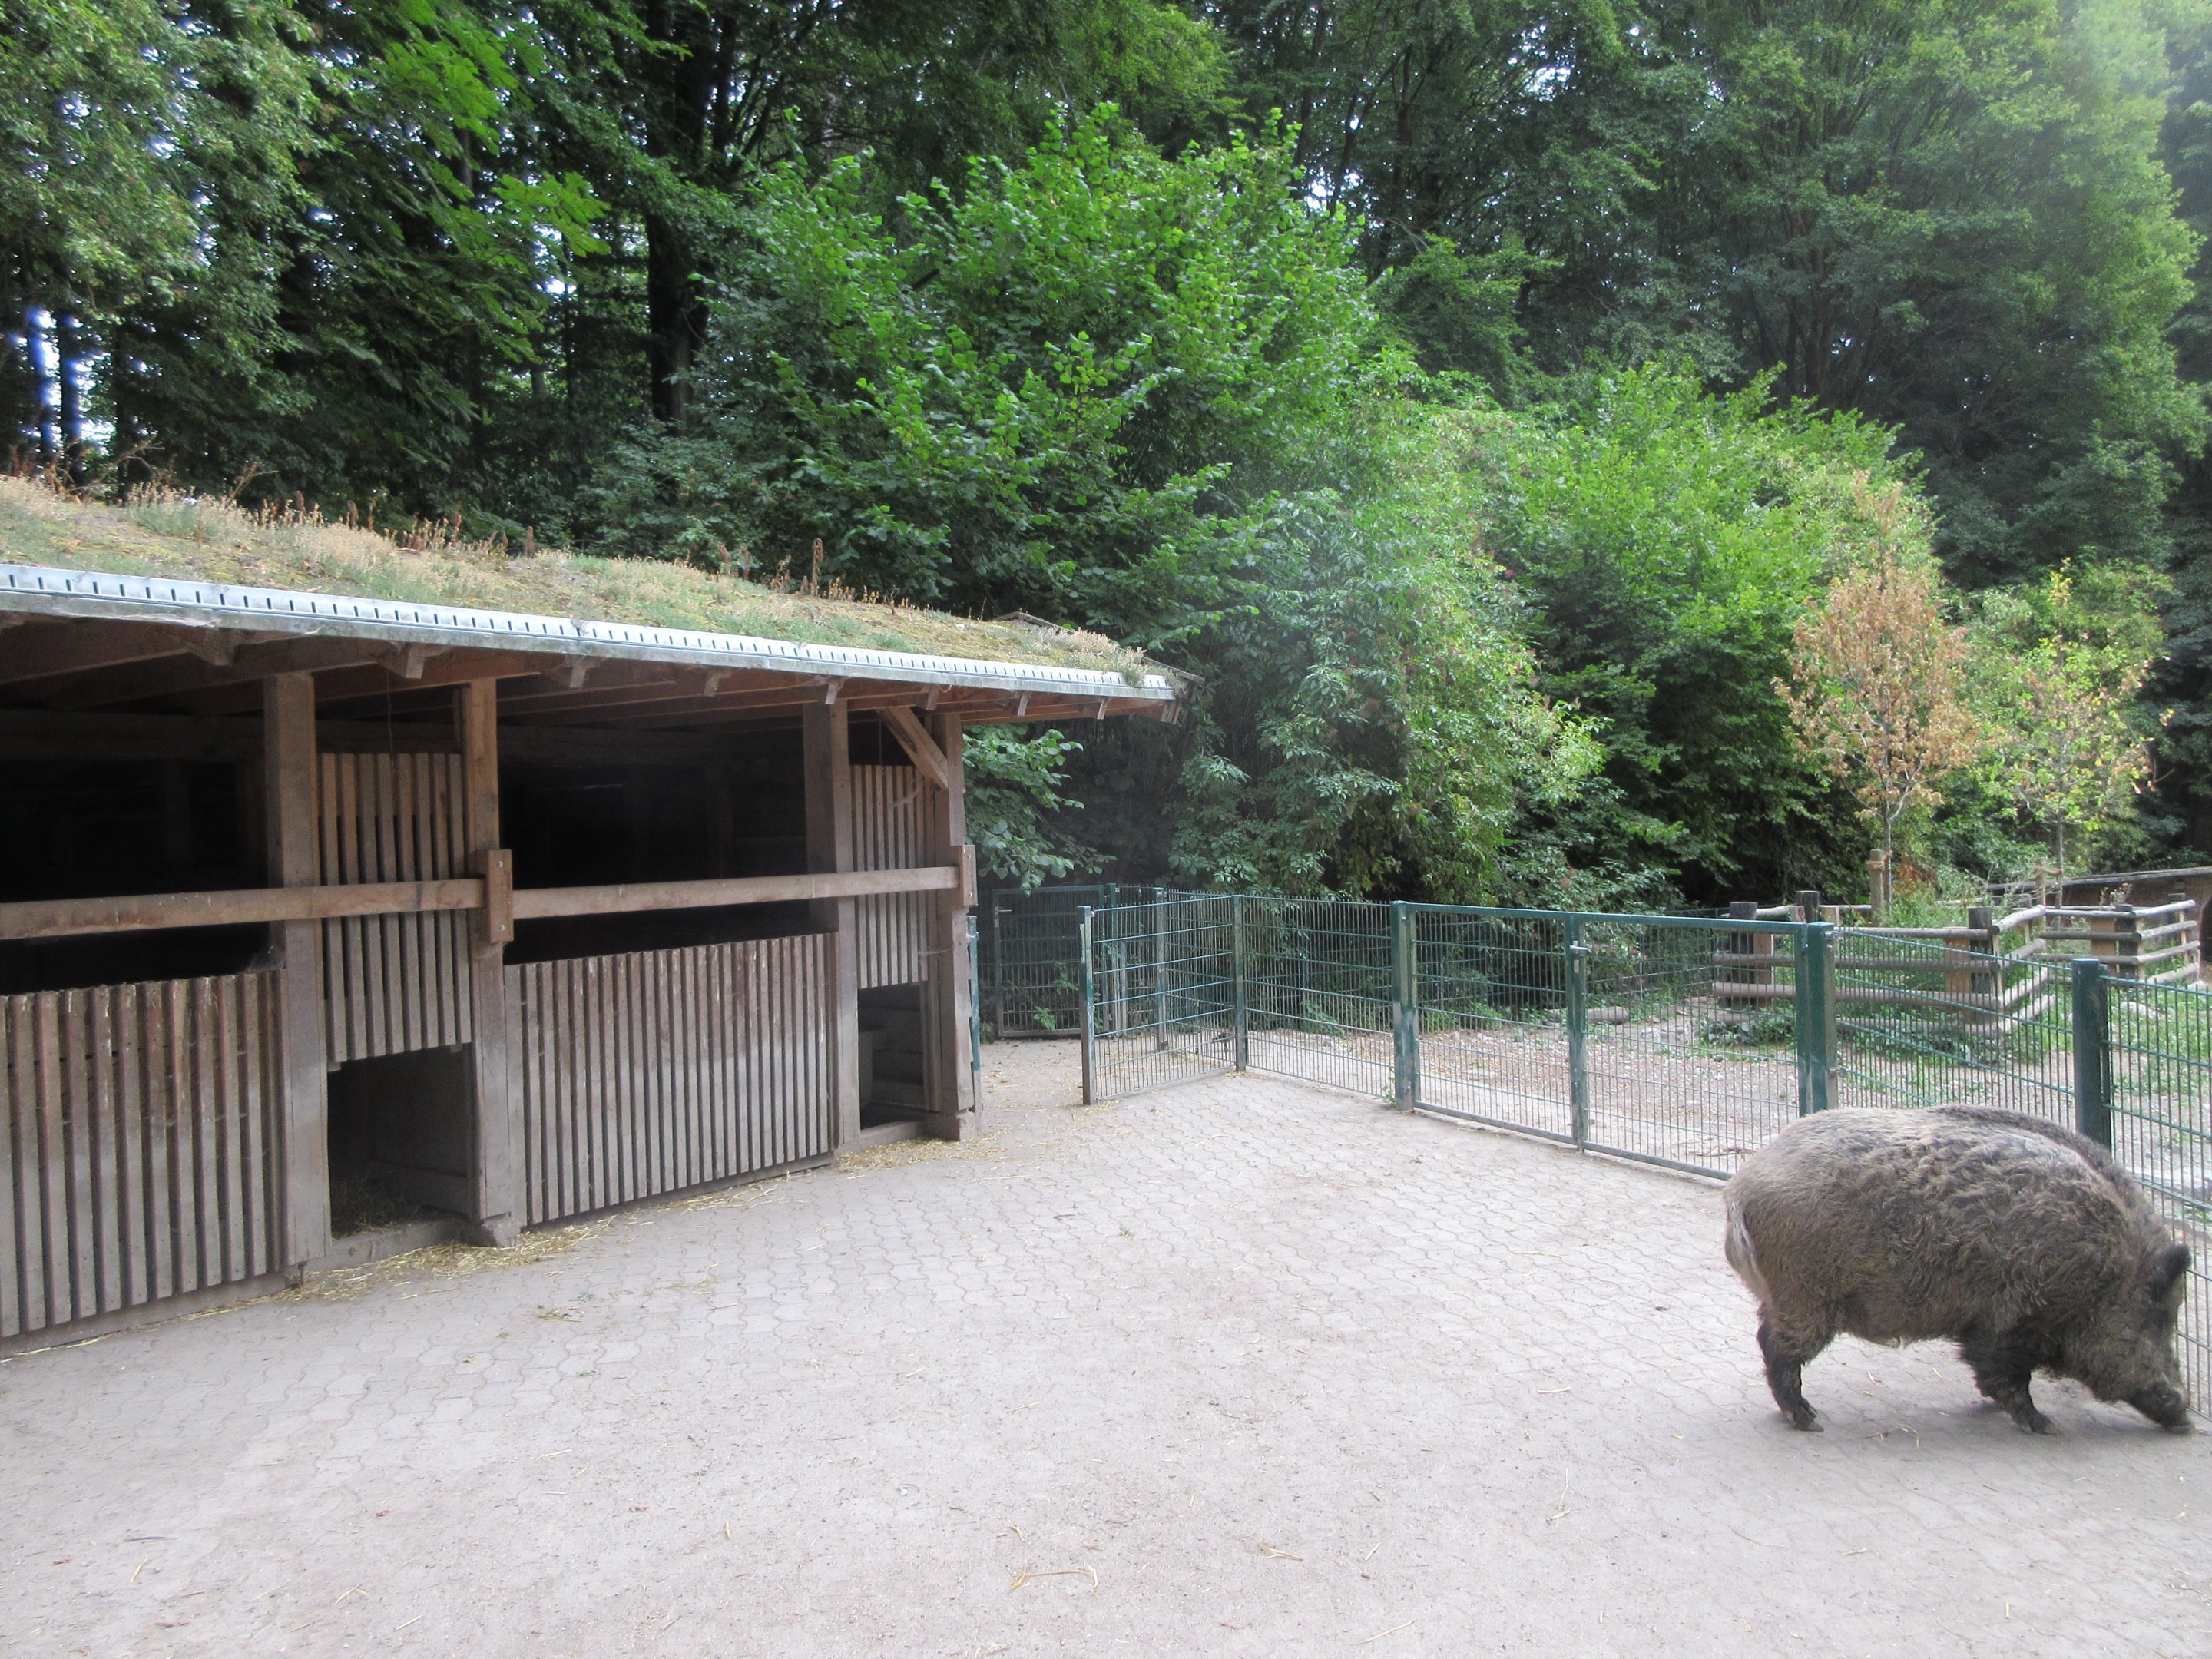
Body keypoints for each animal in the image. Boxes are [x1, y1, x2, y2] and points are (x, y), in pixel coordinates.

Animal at [1723, 1106, 2192, 1434]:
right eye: (2158, 1318)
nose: (2185, 1415)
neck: (2104, 1278)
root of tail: (1741, 1187)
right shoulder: (2011, 1321)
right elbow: (2006, 1377)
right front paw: (2046, 1427)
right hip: (1806, 1296)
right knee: (1775, 1347)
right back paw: (1810, 1420)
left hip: (1789, 1296)